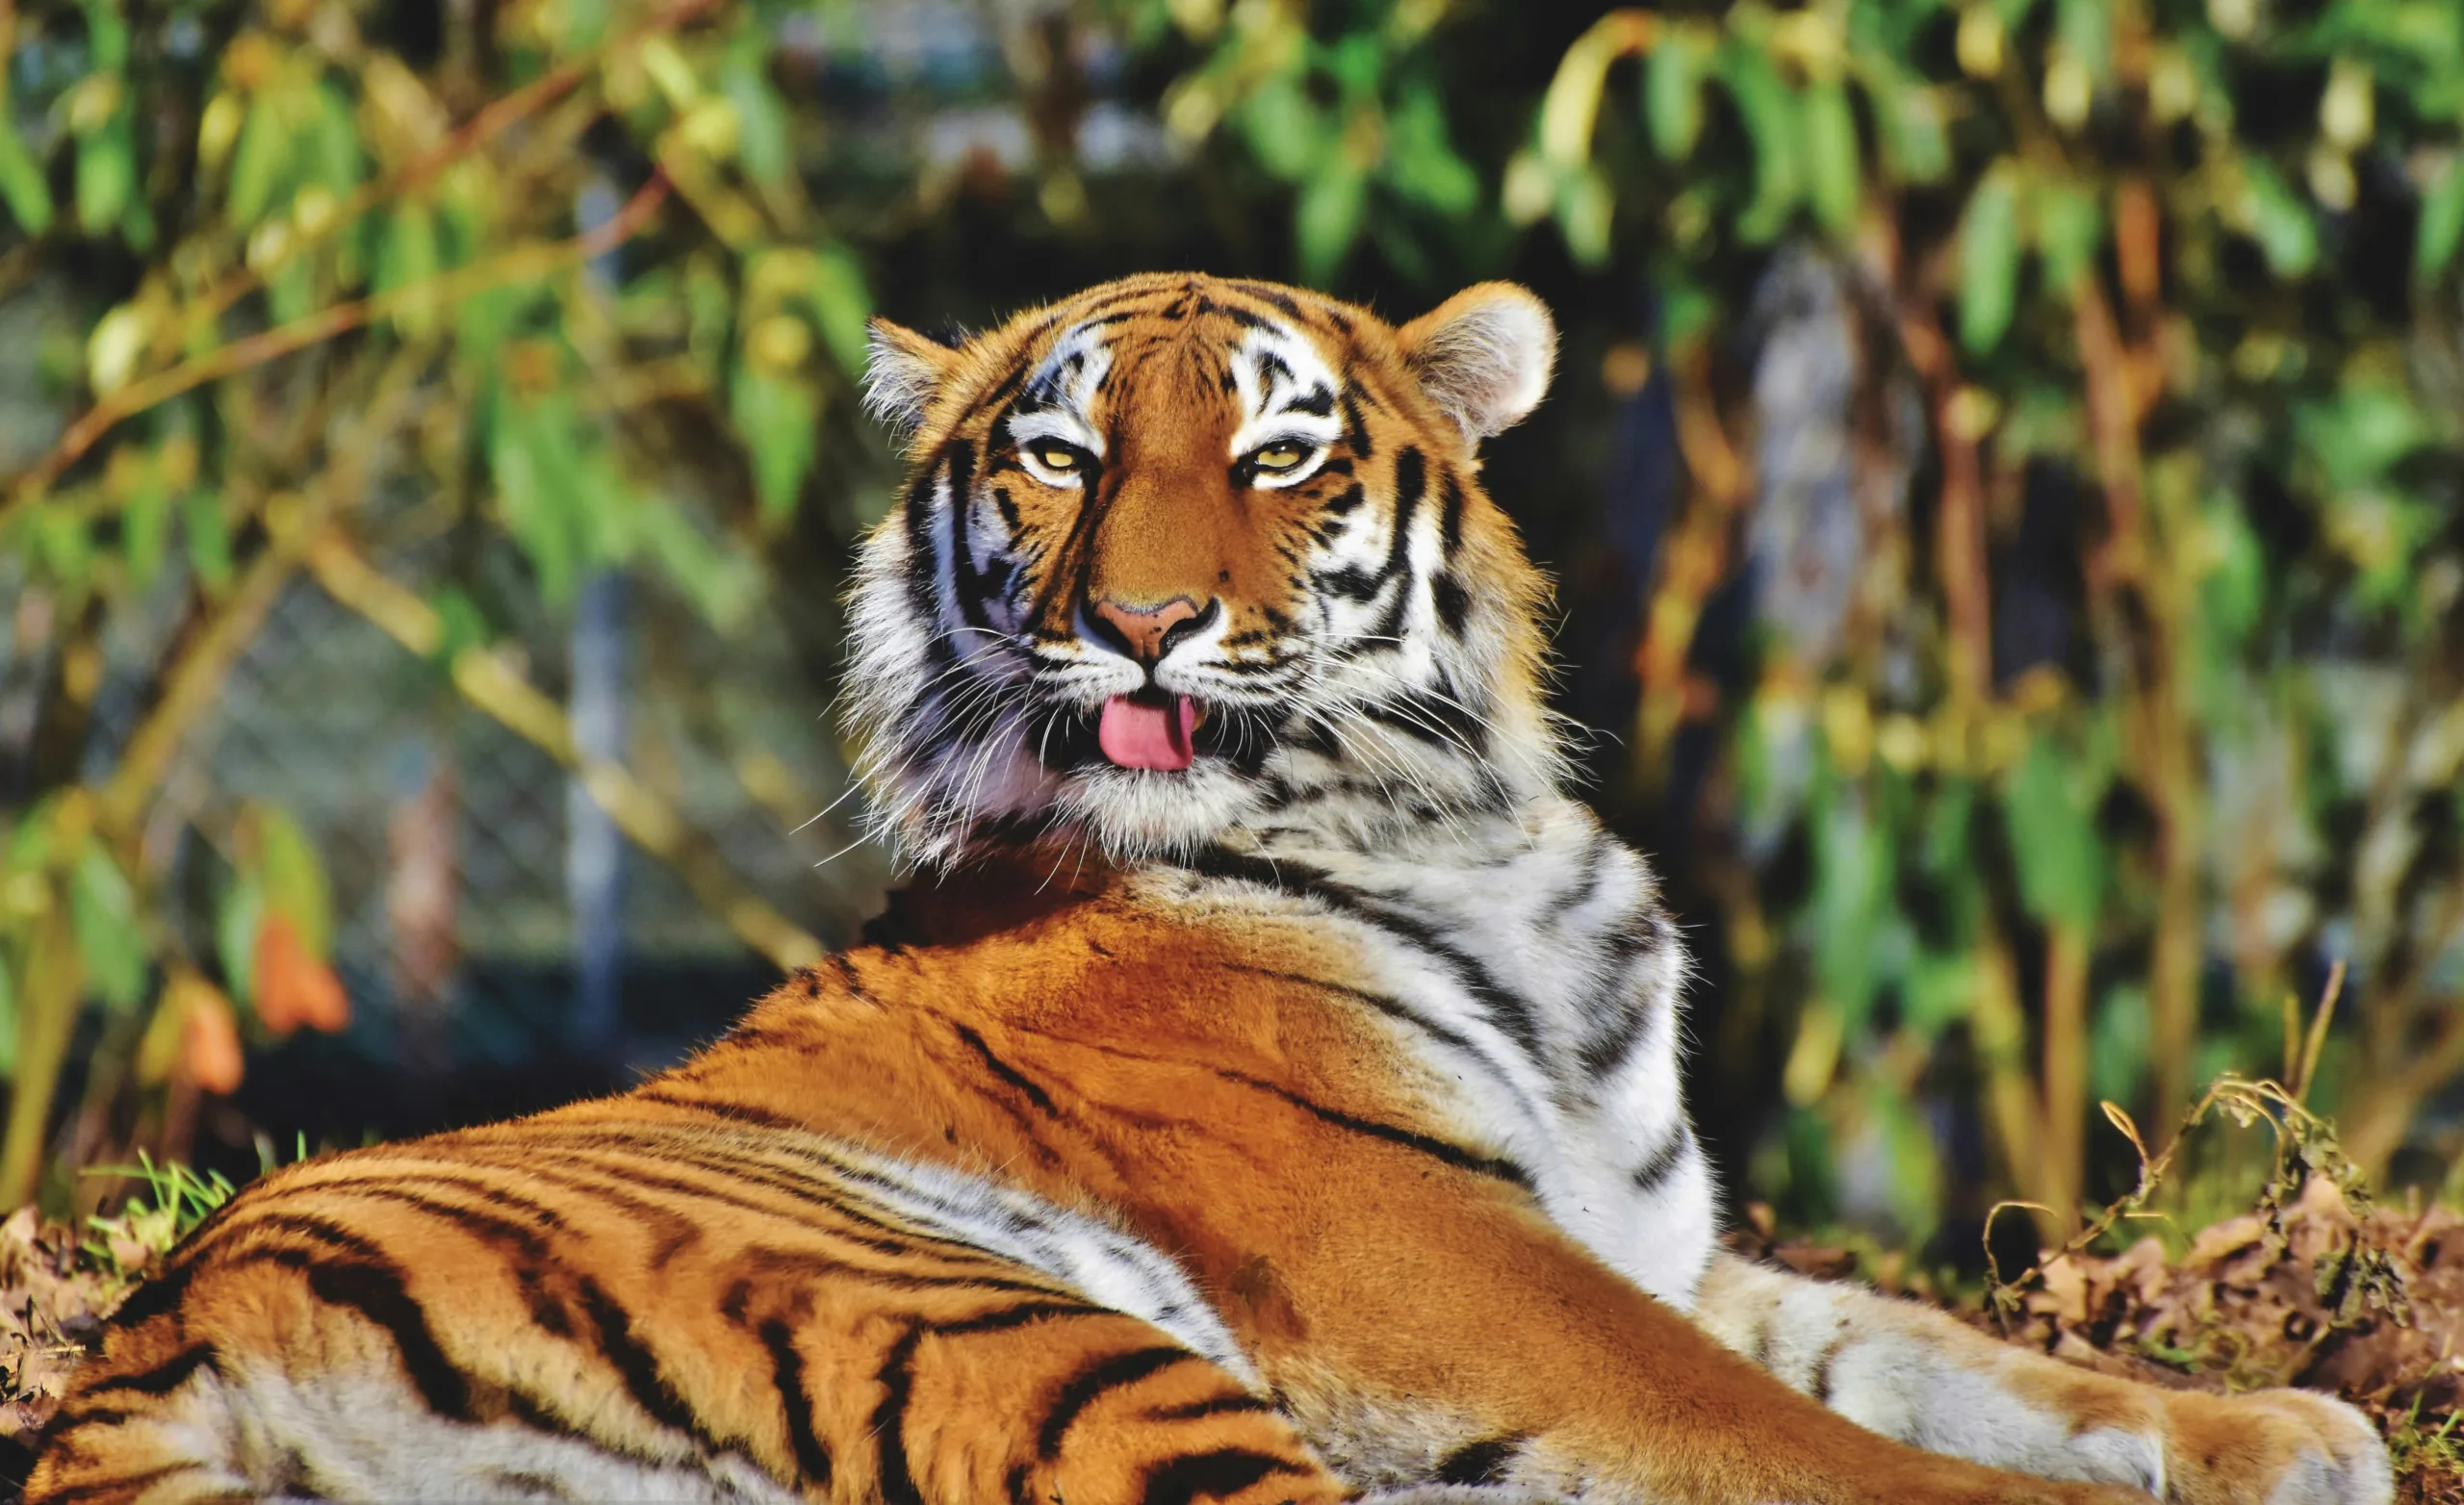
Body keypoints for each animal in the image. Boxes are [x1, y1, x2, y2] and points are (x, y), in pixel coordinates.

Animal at [23, 270, 2385, 1505]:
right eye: (1059, 457)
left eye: (1277, 453)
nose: (1144, 626)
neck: (1460, 823)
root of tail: (154, 1334)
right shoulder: (1444, 1261)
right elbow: (1802, 1441)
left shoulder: (1646, 1233)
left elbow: (1928, 1351)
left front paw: (2281, 1427)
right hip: (1021, 1323)